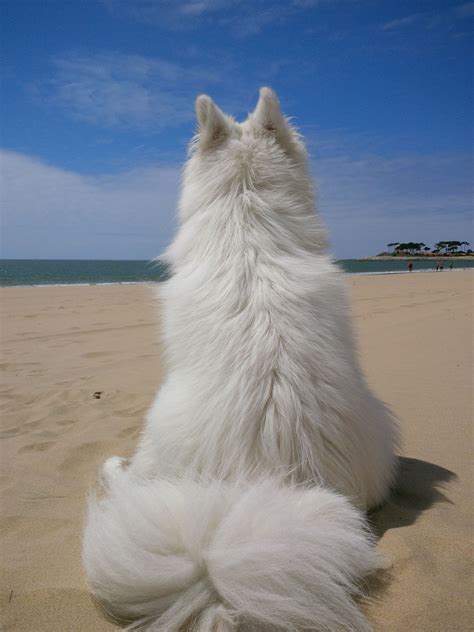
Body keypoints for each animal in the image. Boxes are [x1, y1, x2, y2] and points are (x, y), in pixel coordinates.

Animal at [83, 89, 398, 632]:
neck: (246, 213)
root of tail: (267, 484)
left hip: (158, 423)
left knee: (131, 483)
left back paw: (113, 468)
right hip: (381, 419)